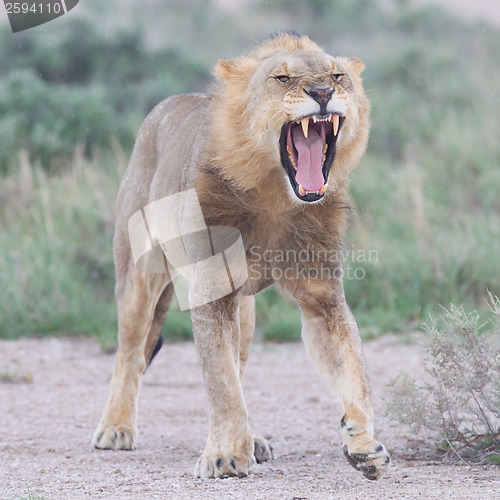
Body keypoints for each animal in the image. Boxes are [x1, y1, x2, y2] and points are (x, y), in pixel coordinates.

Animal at [93, 30, 390, 480]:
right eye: (282, 78)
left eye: (338, 76)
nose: (322, 93)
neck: (277, 196)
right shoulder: (212, 293)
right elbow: (221, 382)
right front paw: (225, 456)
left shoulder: (322, 298)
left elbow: (354, 366)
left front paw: (362, 443)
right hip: (138, 277)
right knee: (130, 354)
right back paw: (116, 428)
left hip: (245, 312)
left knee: (239, 357)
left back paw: (257, 439)